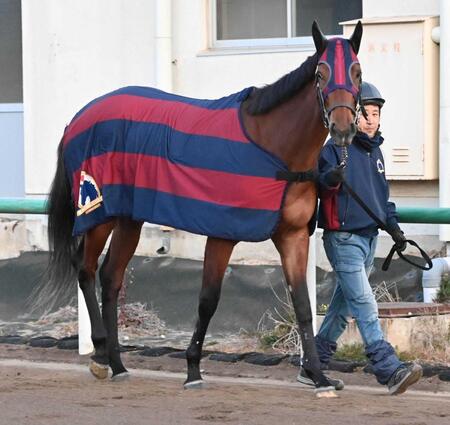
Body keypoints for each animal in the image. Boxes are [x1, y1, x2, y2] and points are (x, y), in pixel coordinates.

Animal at [44, 21, 364, 396]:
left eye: (357, 72)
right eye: (321, 73)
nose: (343, 129)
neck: (274, 149)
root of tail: (76, 119)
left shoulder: (293, 236)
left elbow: (302, 304)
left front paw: (318, 376)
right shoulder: (223, 233)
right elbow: (208, 299)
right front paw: (193, 369)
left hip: (128, 218)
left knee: (111, 277)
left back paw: (119, 364)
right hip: (97, 213)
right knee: (85, 268)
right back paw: (98, 354)